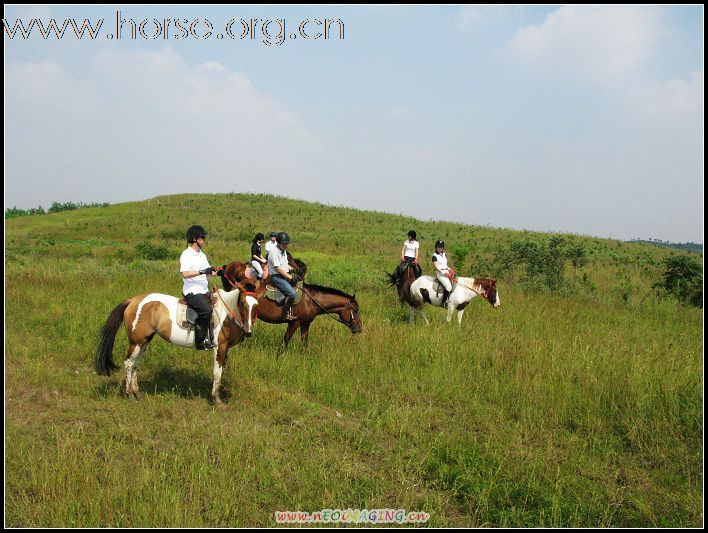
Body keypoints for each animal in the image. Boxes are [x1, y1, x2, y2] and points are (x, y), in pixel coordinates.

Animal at [95, 282, 258, 404]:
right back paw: (129, 394)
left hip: (144, 342)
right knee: (129, 363)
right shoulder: (220, 347)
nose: (248, 332)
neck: (226, 314)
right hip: (137, 341)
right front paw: (216, 399)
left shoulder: (227, 349)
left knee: (135, 363)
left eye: (256, 305)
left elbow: (221, 370)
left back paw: (137, 393)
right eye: (242, 303)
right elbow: (217, 372)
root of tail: (132, 301)